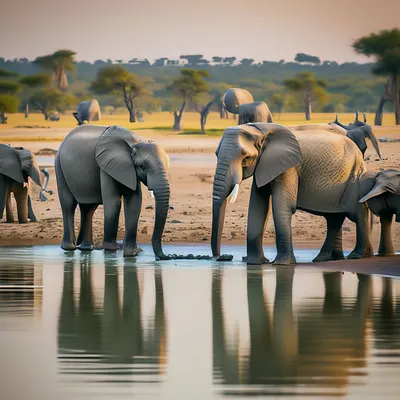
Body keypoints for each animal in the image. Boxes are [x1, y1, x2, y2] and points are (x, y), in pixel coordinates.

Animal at [54, 123, 170, 258]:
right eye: (142, 167)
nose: (166, 257)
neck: (135, 142)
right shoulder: (106, 165)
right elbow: (114, 203)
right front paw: (111, 250)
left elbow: (134, 202)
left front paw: (132, 254)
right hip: (59, 167)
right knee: (68, 205)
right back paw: (69, 248)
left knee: (88, 208)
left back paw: (86, 248)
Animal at [211, 122, 374, 266]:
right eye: (216, 154)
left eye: (246, 157)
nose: (219, 257)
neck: (262, 131)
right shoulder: (264, 165)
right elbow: (258, 207)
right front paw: (255, 263)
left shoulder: (289, 167)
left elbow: (281, 207)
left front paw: (282, 264)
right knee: (334, 218)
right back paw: (326, 259)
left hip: (354, 177)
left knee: (357, 212)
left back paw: (357, 256)